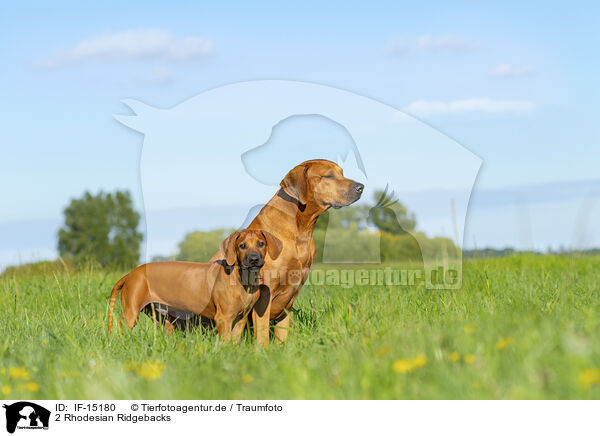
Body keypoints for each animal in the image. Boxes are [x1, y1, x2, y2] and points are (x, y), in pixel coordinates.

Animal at [107, 228, 282, 340]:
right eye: (242, 246)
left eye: (261, 244)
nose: (254, 259)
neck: (242, 279)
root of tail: (131, 274)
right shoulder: (224, 318)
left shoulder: (240, 318)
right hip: (130, 313)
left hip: (162, 319)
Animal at [212, 158, 360, 346]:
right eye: (328, 176)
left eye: (342, 173)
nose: (361, 187)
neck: (300, 231)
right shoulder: (263, 296)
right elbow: (262, 335)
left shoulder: (288, 300)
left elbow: (282, 335)